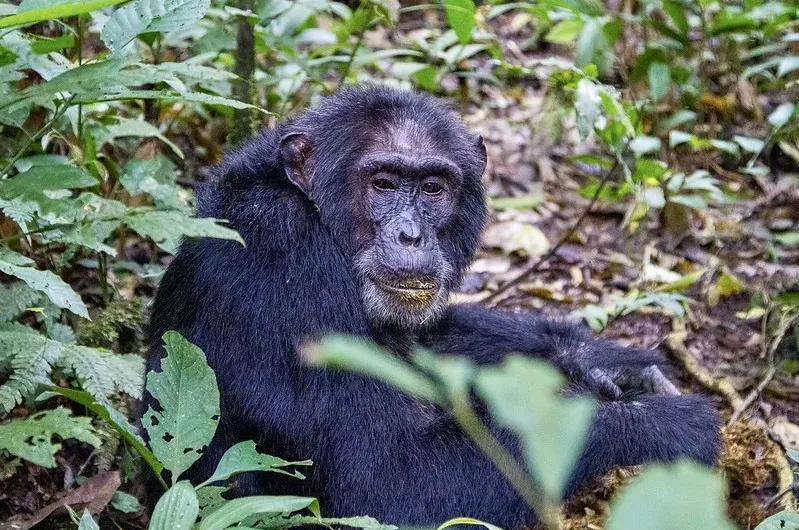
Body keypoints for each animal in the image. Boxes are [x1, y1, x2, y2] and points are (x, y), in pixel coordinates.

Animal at [147, 84, 720, 524]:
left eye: (432, 188)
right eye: (382, 183)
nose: (411, 234)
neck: (316, 216)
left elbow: (430, 341)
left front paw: (602, 362)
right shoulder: (281, 261)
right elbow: (382, 485)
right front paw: (660, 424)